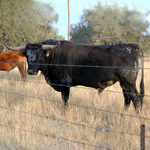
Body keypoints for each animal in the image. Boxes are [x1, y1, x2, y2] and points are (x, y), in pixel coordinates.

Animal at [5, 39, 144, 110]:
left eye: (39, 56)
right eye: (27, 56)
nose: (31, 71)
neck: (54, 55)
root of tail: (131, 46)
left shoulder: (65, 84)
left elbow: (65, 101)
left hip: (129, 82)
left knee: (135, 98)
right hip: (123, 83)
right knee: (127, 98)